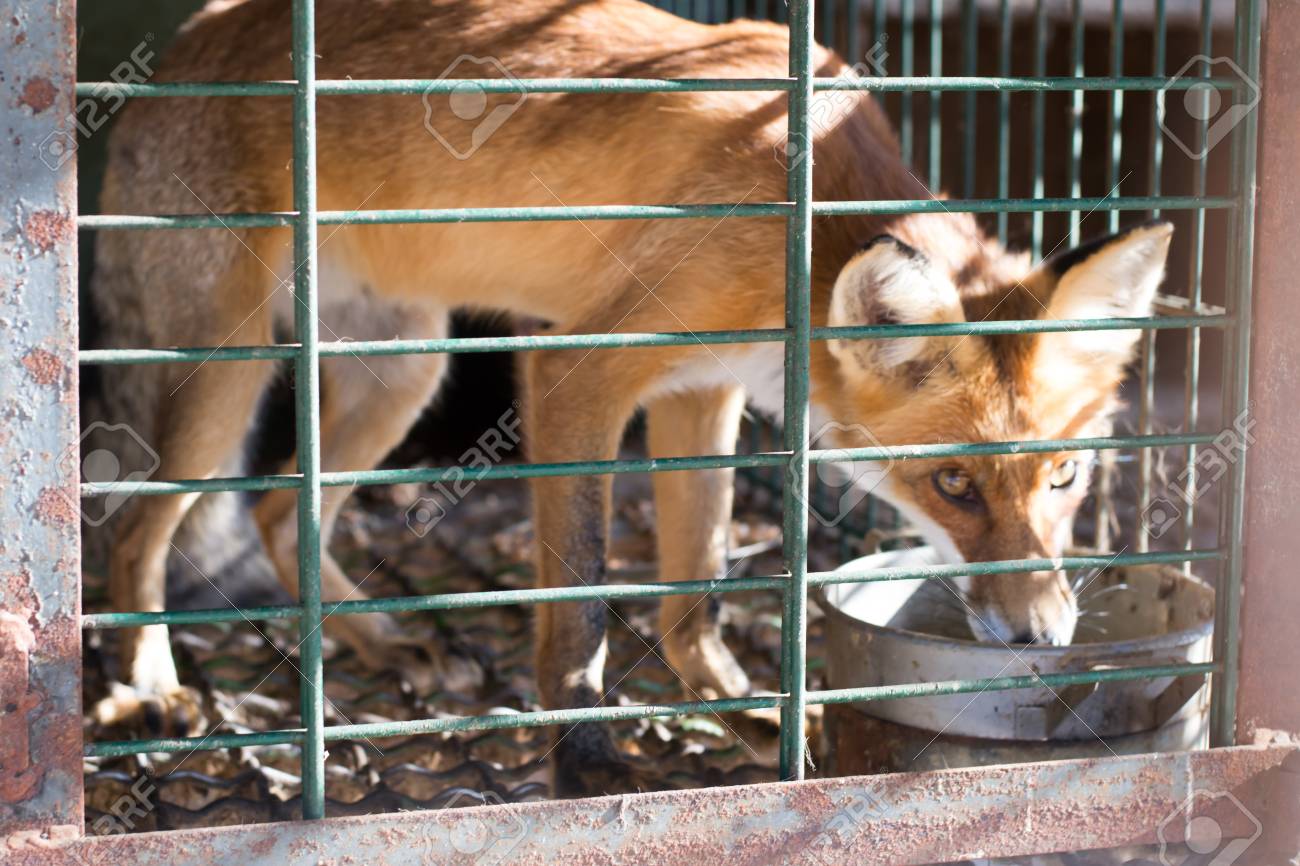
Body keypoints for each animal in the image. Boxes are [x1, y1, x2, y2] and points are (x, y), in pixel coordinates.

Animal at [89, 0, 1172, 794]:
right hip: (229, 371)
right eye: (952, 484)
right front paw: (586, 759)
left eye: (1066, 478)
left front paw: (740, 706)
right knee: (138, 531)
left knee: (284, 507)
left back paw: (368, 636)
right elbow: (581, 602)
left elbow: (693, 588)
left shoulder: (704, 391)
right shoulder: (577, 370)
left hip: (406, 370)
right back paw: (150, 686)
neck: (796, 220)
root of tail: (186, 41)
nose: (1042, 639)